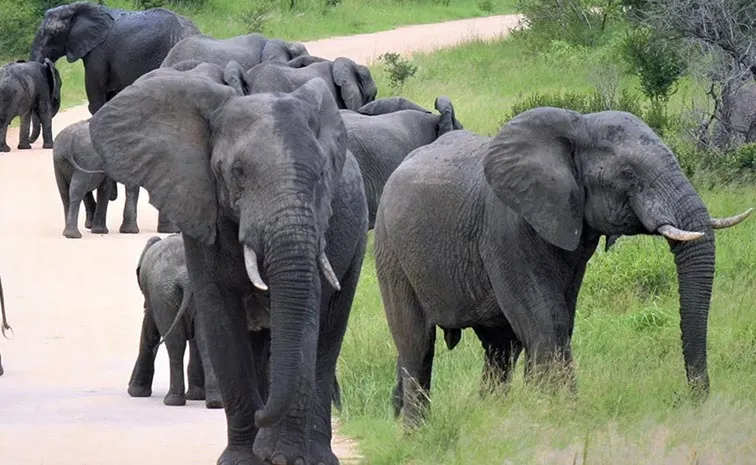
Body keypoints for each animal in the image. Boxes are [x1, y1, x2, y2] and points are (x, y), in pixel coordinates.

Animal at [128, 234, 222, 408]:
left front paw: (135, 392)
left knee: (175, 344)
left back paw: (172, 401)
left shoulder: (152, 299)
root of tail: (186, 278)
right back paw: (214, 402)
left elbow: (149, 330)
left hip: (164, 296)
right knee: (204, 342)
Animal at [373, 106, 752, 428]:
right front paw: (558, 417)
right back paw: (416, 433)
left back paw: (489, 413)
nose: (688, 399)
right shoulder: (506, 230)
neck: (577, 125)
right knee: (417, 344)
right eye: (628, 174)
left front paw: (551, 412)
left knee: (499, 348)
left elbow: (560, 321)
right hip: (389, 247)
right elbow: (546, 321)